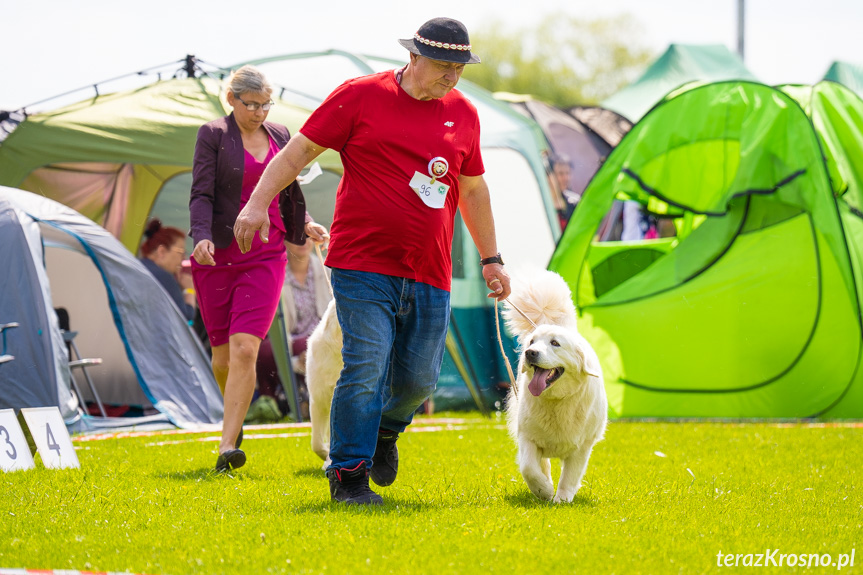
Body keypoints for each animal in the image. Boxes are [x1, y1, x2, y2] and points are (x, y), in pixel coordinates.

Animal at [500, 272, 608, 502]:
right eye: (532, 341)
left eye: (555, 343)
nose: (530, 353)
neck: (557, 400)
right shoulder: (527, 438)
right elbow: (529, 468)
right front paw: (545, 490)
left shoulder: (582, 447)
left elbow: (570, 476)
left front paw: (562, 500)